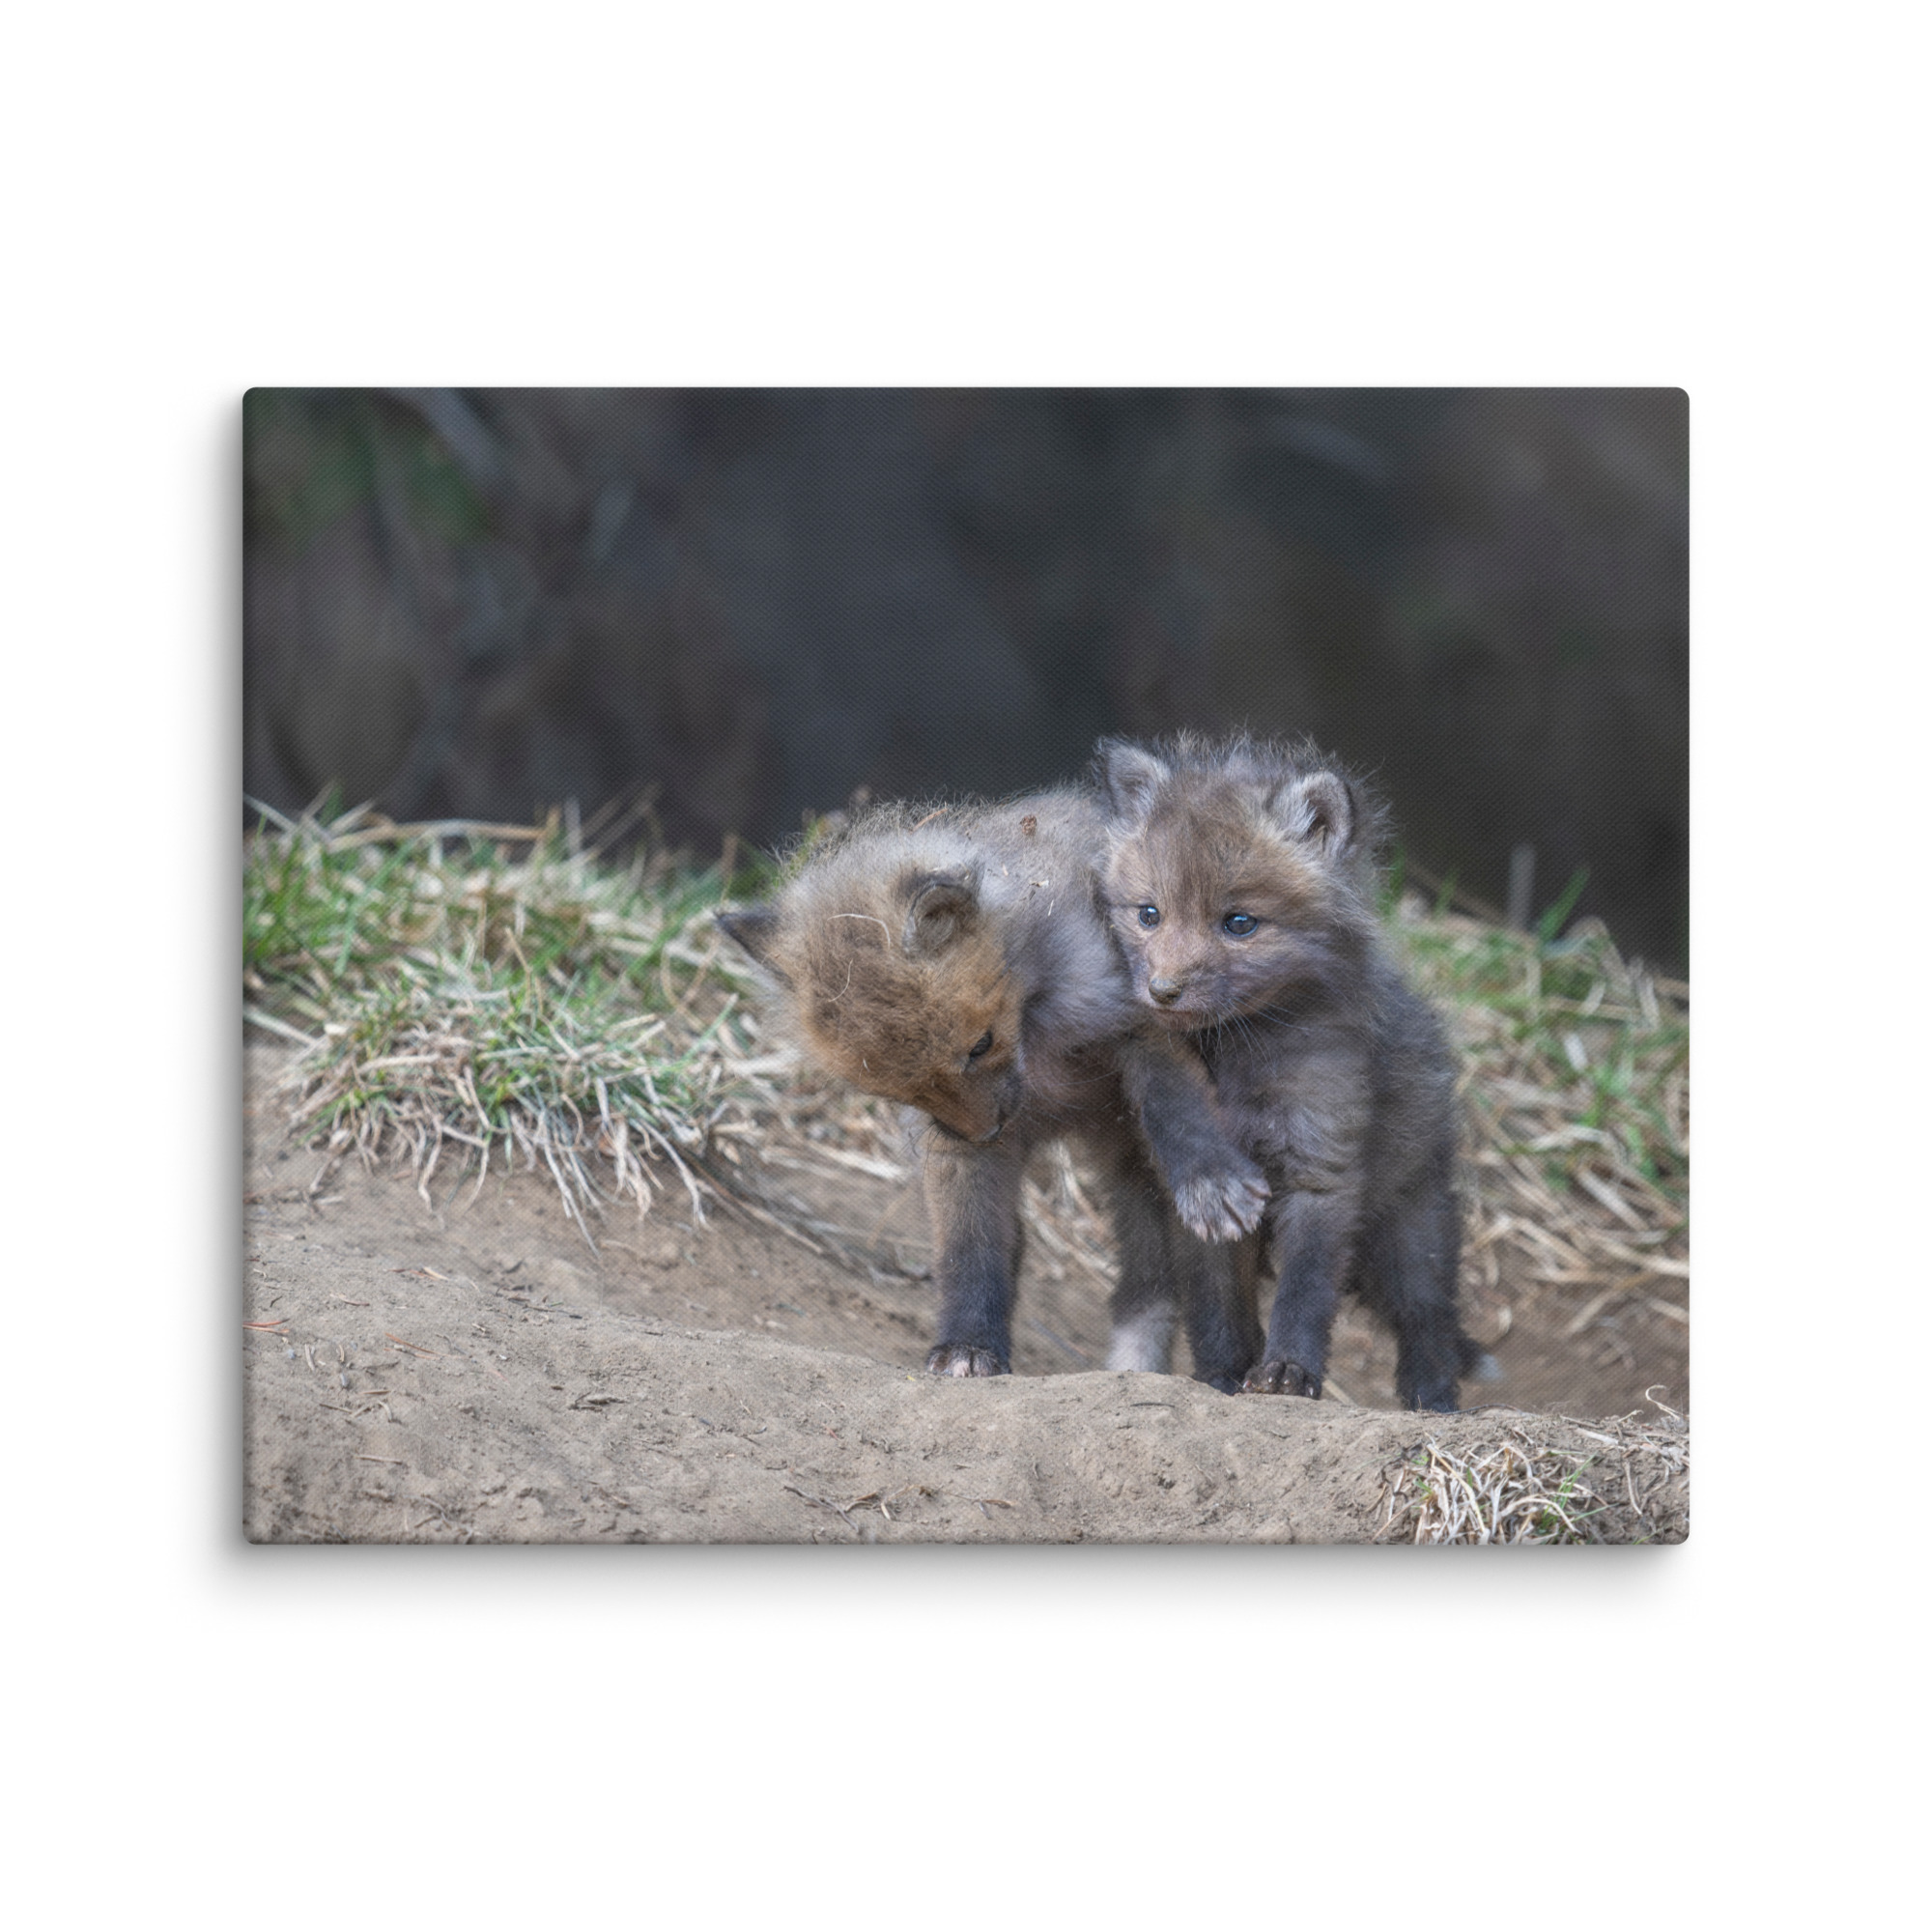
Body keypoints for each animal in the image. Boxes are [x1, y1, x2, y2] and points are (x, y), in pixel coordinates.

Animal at [716, 789, 1270, 1388]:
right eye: (899, 1090)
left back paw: (1227, 1374)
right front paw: (969, 1346)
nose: (987, 1131)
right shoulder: (952, 1146)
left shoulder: (1142, 1019)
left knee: (1210, 1284)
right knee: (1145, 1285)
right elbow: (970, 1248)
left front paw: (1209, 1179)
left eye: (980, 1045)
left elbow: (1177, 1108)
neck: (1039, 1037)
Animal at [1096, 733, 1481, 1412]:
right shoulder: (1204, 1202)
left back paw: (1433, 1404)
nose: (1162, 991)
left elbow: (1305, 1292)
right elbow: (1217, 1306)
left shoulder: (1321, 1167)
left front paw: (1287, 1374)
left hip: (1410, 1230)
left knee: (1429, 1319)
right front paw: (1222, 1378)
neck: (1238, 1058)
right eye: (1149, 914)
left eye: (1239, 923)